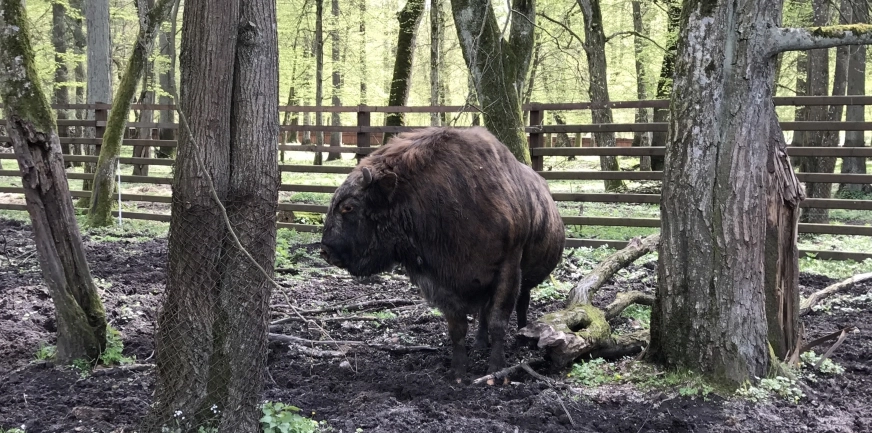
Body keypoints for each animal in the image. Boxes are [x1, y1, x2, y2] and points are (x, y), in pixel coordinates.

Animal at [320, 125, 564, 378]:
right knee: (484, 313)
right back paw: (480, 343)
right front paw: (458, 371)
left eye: (348, 207)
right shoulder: (440, 280)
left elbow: (498, 320)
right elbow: (458, 327)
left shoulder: (508, 268)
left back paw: (521, 336)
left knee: (521, 303)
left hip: (522, 280)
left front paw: (496, 368)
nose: (326, 251)